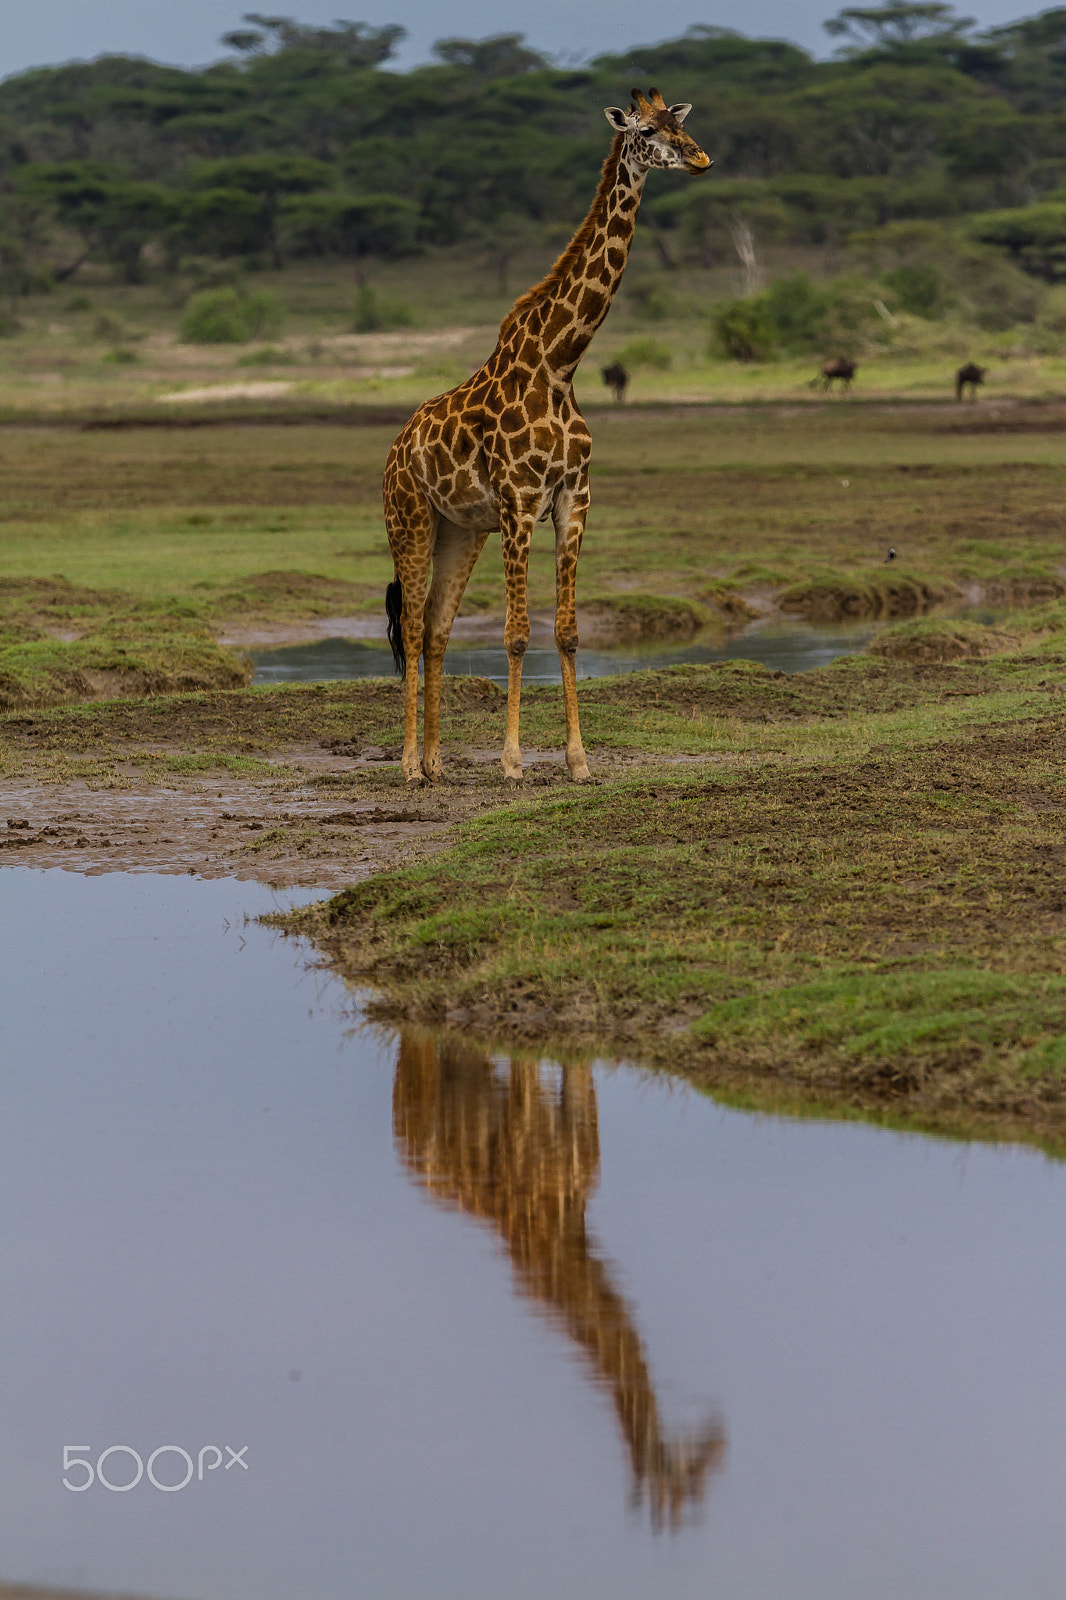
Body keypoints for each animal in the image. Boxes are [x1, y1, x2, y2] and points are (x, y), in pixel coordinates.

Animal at [382, 90, 704, 784]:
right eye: (645, 132)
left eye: (680, 122)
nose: (699, 157)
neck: (561, 363)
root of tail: (395, 451)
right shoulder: (519, 503)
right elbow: (516, 633)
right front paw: (511, 762)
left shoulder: (572, 499)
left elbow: (567, 631)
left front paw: (579, 761)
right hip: (410, 520)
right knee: (411, 629)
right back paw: (410, 767)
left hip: (460, 531)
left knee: (435, 629)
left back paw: (437, 761)